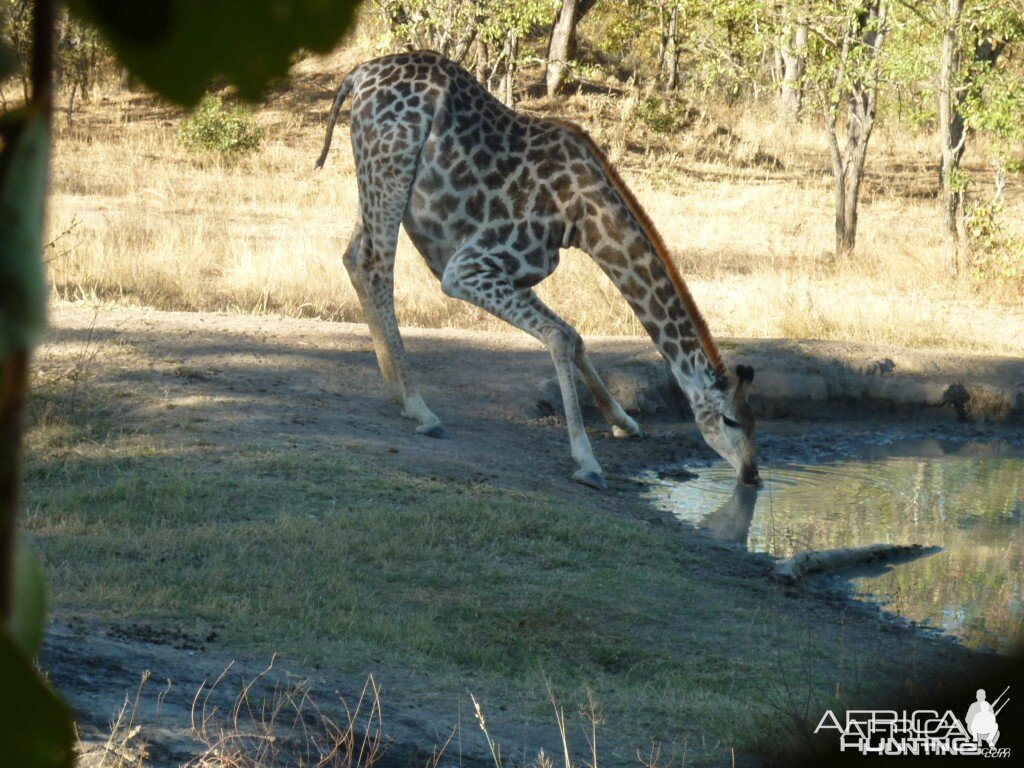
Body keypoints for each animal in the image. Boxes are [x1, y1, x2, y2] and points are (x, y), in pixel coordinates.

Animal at [315, 51, 757, 489]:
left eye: (754, 420)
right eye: (729, 420)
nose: (752, 474)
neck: (583, 219)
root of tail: (358, 75)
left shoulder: (514, 271)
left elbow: (574, 335)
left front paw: (625, 423)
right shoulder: (468, 267)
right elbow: (558, 337)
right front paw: (588, 462)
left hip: (373, 176)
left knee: (354, 258)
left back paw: (395, 390)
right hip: (392, 168)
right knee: (376, 267)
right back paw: (420, 407)